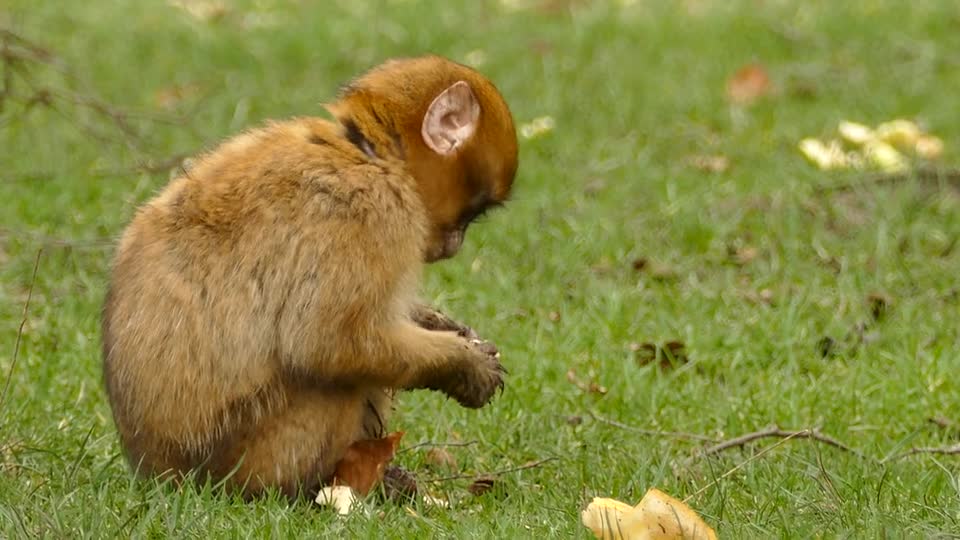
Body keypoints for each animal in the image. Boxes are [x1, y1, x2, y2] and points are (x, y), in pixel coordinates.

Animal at [102, 54, 520, 498]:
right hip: (250, 459)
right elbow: (327, 343)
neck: (366, 153)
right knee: (337, 378)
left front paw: (445, 326)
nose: (455, 244)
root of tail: (157, 470)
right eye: (473, 211)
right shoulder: (370, 212)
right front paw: (463, 365)